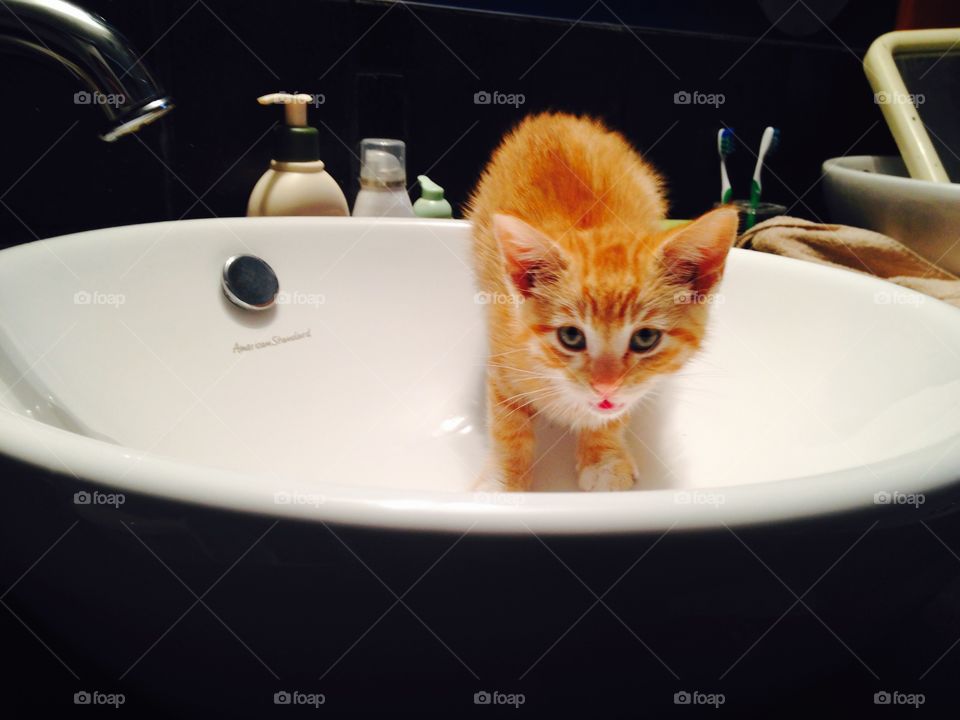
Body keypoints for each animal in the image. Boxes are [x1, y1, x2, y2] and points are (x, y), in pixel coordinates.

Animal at [468, 112, 740, 492]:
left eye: (645, 338)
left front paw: (603, 458)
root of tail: (555, 117)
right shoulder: (502, 363)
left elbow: (614, 415)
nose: (605, 386)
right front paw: (505, 479)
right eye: (570, 336)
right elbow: (508, 425)